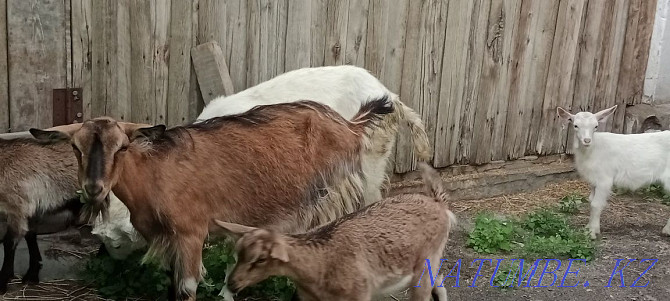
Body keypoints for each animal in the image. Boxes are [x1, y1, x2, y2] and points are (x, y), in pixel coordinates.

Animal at [31, 97, 396, 298]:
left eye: (122, 147)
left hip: (335, 194)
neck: (154, 173)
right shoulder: (168, 240)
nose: (94, 188)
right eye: (75, 148)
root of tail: (350, 125)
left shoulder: (192, 234)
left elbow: (186, 289)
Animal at [218, 162, 460, 300]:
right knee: (438, 282)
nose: (232, 283)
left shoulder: (359, 294)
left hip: (428, 259)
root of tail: (438, 203)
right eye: (238, 253)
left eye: (260, 259)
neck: (320, 263)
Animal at [560, 104, 670, 238]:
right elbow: (591, 201)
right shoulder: (594, 181)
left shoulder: (604, 179)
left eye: (596, 126)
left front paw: (592, 232)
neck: (592, 149)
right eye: (576, 125)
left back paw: (667, 230)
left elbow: (596, 204)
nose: (587, 140)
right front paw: (589, 228)